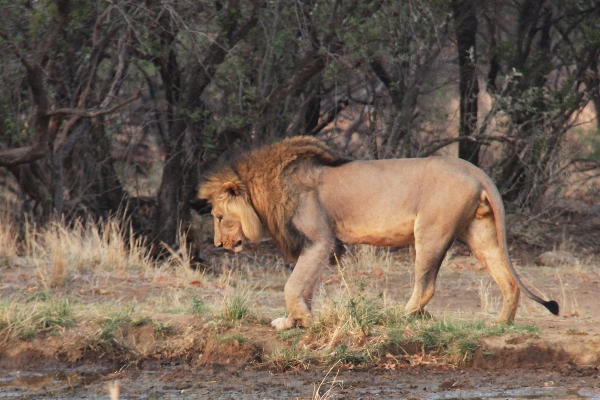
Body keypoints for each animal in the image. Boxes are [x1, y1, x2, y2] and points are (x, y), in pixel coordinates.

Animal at [199, 136, 560, 330]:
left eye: (219, 216)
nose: (218, 243)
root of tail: (473, 169)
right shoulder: (316, 246)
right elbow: (304, 287)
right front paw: (291, 322)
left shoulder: (320, 240)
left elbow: (292, 286)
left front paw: (306, 320)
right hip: (480, 233)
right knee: (508, 281)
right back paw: (500, 323)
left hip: (431, 232)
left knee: (426, 287)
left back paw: (398, 317)